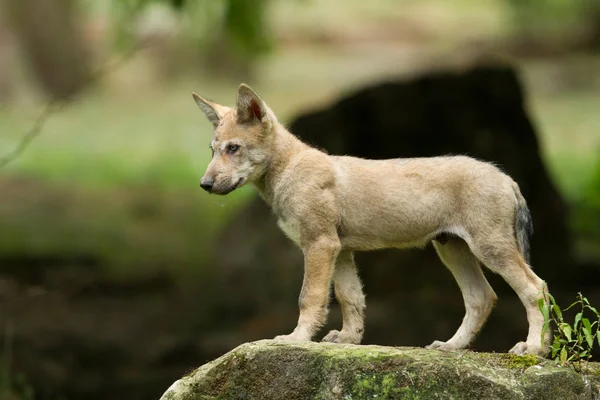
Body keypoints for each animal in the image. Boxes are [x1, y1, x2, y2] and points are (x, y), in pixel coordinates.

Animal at [191, 83, 548, 354]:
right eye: (213, 150)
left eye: (233, 148)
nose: (204, 185)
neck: (291, 169)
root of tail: (507, 179)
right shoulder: (341, 251)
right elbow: (351, 299)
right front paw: (348, 339)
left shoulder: (319, 245)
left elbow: (309, 298)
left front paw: (296, 339)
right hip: (454, 250)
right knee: (481, 298)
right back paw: (451, 346)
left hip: (490, 249)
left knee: (536, 289)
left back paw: (534, 348)